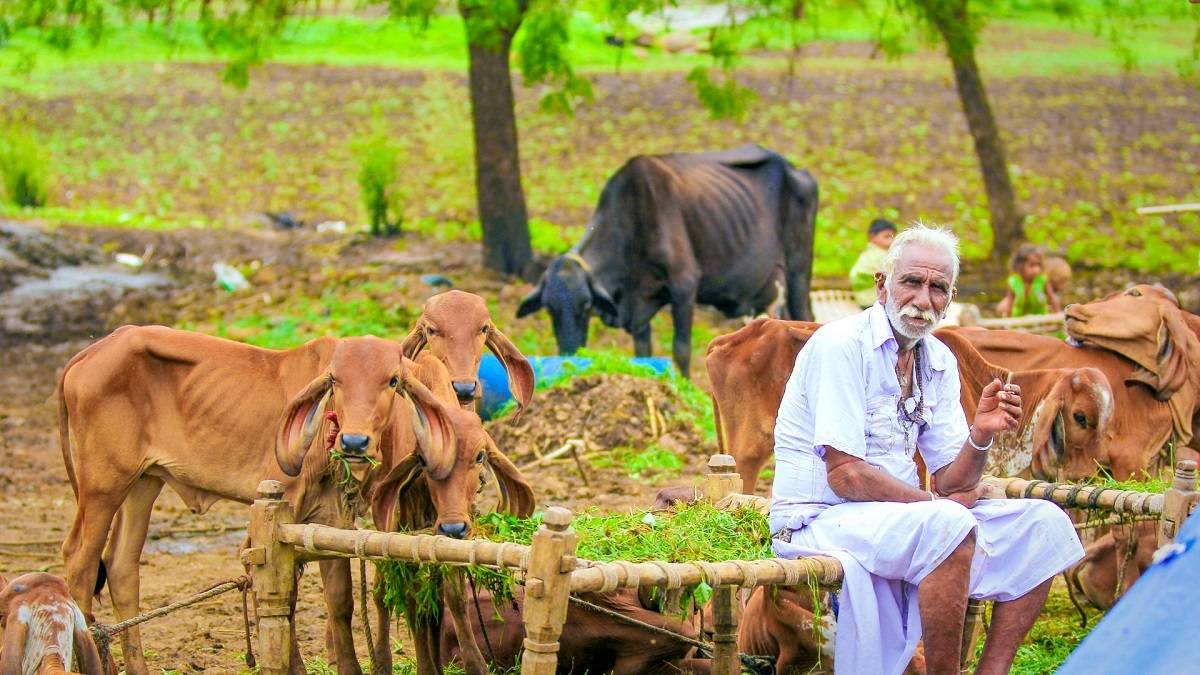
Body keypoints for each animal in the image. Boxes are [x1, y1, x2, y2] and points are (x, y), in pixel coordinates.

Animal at [57, 326, 458, 672]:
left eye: (392, 381)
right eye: (334, 381)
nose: (354, 442)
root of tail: (89, 353)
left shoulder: (331, 519)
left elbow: (340, 603)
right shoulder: (279, 518)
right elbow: (286, 599)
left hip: (143, 483)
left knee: (121, 567)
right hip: (102, 487)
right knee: (79, 562)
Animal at [516, 144, 816, 374]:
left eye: (587, 305)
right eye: (548, 308)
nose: (569, 353)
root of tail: (794, 168)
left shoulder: (684, 286)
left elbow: (681, 349)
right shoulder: (639, 304)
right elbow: (643, 353)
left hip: (798, 271)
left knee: (806, 316)